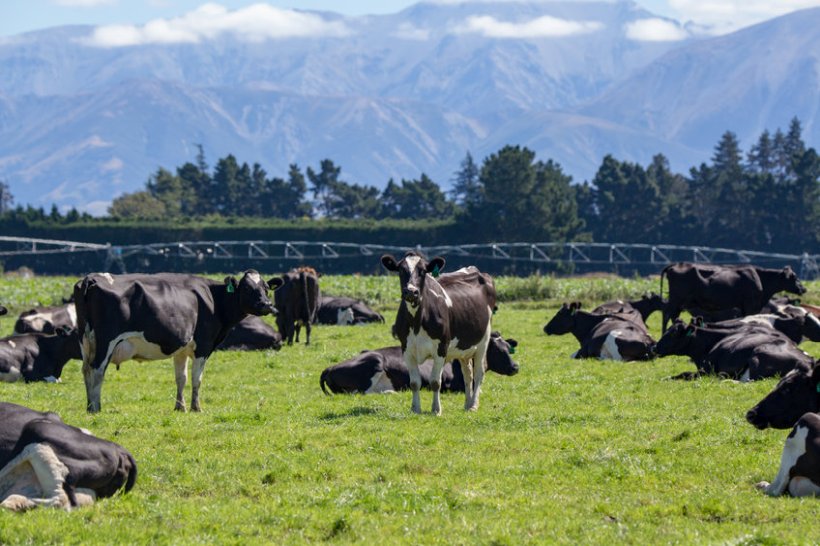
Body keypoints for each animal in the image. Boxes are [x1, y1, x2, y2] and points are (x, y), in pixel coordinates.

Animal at [74, 270, 286, 410]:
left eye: (266, 288)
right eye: (247, 289)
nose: (267, 305)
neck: (214, 299)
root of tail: (91, 278)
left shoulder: (181, 348)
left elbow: (181, 378)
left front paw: (180, 407)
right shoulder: (204, 345)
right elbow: (196, 378)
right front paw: (196, 407)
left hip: (85, 341)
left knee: (86, 370)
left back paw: (88, 405)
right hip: (106, 341)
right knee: (97, 370)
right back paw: (96, 407)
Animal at [320, 330, 520, 394]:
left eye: (508, 348)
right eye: (499, 350)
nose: (515, 366)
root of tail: (329, 367)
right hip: (375, 360)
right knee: (362, 392)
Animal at [382, 251, 496, 412]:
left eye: (423, 271)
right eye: (401, 270)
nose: (411, 291)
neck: (417, 323)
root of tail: (476, 270)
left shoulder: (441, 349)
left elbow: (435, 382)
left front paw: (436, 409)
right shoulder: (406, 349)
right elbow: (414, 383)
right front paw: (415, 408)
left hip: (483, 341)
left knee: (479, 372)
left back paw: (473, 405)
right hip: (464, 347)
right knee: (467, 373)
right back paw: (467, 404)